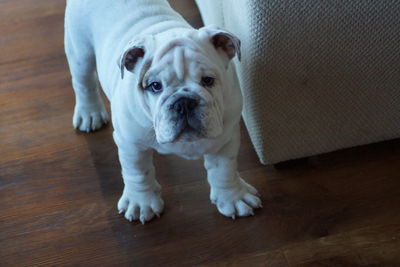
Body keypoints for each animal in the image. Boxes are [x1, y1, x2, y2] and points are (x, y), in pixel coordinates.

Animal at [65, 0, 262, 224]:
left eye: (208, 80)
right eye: (155, 86)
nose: (184, 102)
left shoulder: (225, 137)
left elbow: (225, 169)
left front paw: (233, 197)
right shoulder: (130, 142)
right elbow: (138, 172)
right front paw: (140, 202)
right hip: (80, 50)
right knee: (84, 82)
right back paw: (90, 114)